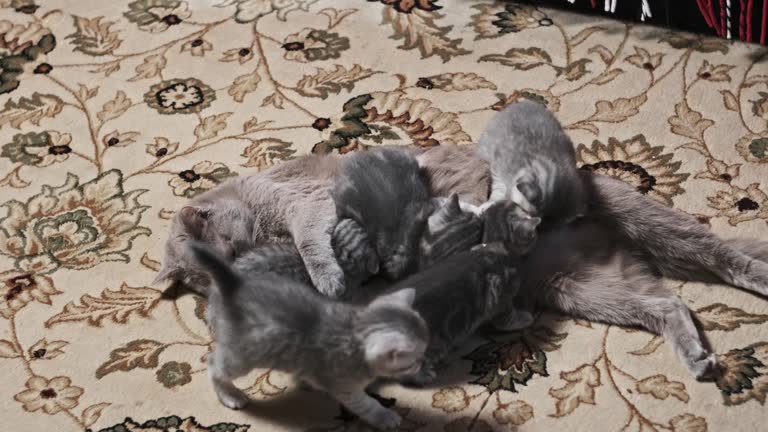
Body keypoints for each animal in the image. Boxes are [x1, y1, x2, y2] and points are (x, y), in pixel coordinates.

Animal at [186, 241, 426, 430]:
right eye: (412, 359)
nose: (419, 366)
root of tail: (233, 285)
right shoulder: (344, 385)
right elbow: (366, 404)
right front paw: (384, 417)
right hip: (243, 355)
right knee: (214, 365)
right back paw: (230, 395)